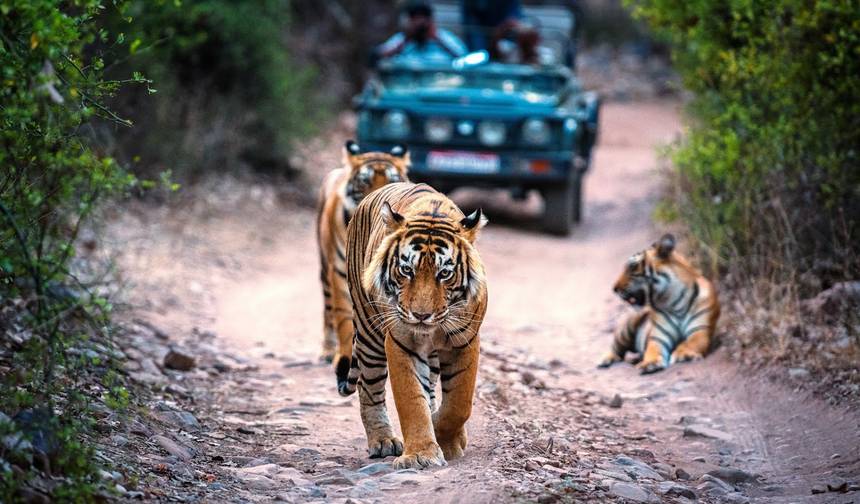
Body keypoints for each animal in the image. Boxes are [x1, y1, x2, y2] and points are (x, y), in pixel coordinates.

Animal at [317, 141, 410, 366]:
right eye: (365, 181)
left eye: (392, 180)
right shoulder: (339, 272)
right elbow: (343, 318)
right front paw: (344, 355)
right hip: (325, 268)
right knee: (328, 310)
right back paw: (327, 350)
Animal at [338, 182, 488, 470]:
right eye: (406, 270)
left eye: (445, 274)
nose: (421, 315)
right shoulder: (401, 342)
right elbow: (411, 401)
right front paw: (421, 454)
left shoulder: (466, 341)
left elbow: (459, 402)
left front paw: (447, 439)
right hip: (369, 331)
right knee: (369, 388)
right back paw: (383, 441)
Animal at [598, 234, 720, 374]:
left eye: (632, 266)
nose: (614, 288)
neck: (674, 301)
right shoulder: (658, 337)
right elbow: (652, 350)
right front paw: (649, 363)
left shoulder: (700, 330)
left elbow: (691, 342)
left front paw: (684, 354)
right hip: (628, 326)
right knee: (616, 348)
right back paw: (605, 360)